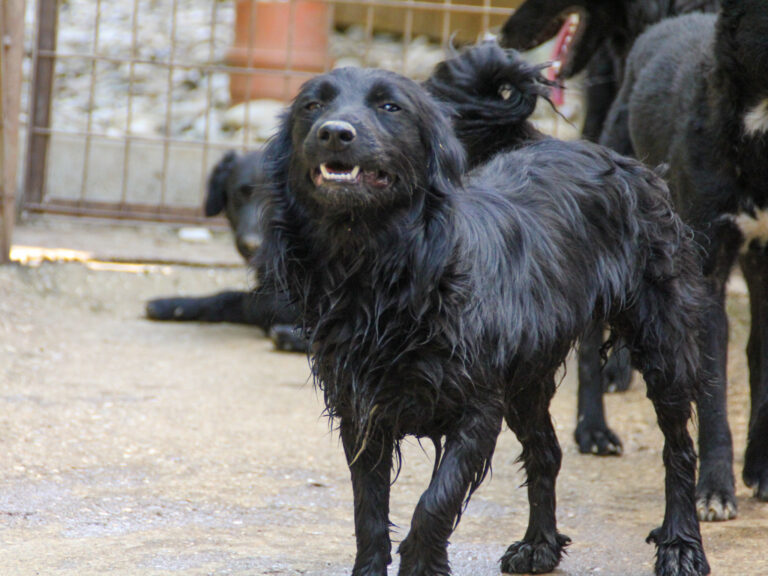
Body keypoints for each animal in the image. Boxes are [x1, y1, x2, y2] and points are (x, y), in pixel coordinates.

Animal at [258, 64, 708, 576]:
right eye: (312, 105)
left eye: (390, 106)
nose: (334, 132)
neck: (380, 275)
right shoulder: (361, 412)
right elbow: (368, 513)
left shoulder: (476, 411)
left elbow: (433, 504)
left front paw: (421, 564)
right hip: (526, 380)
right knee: (546, 452)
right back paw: (538, 545)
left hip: (663, 344)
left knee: (679, 449)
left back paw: (680, 545)